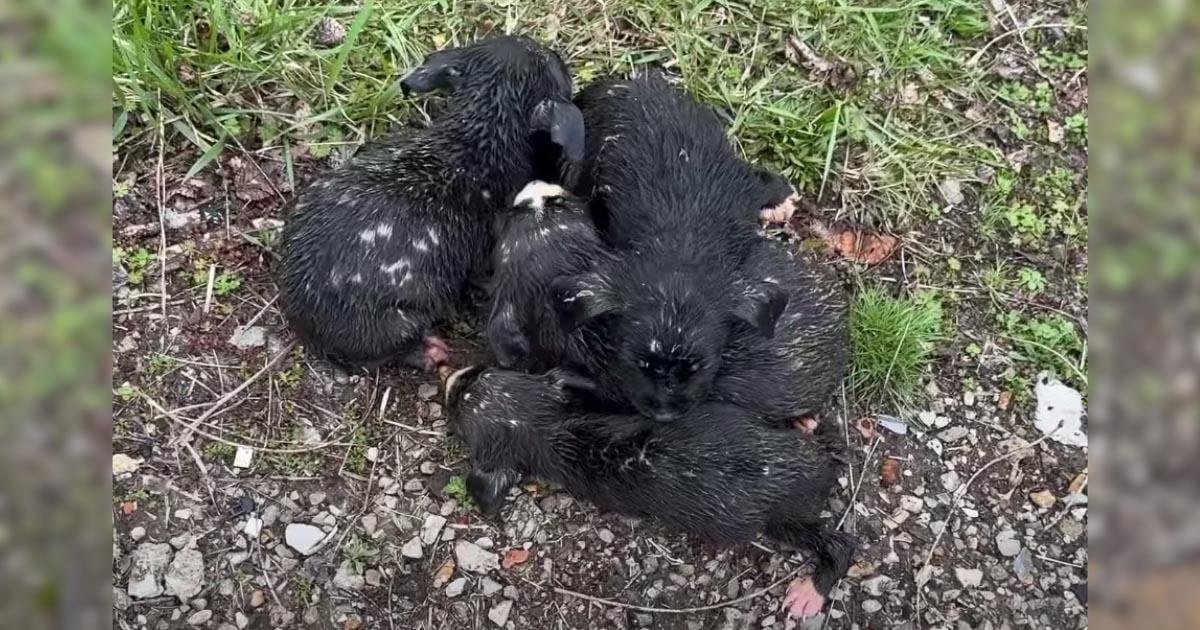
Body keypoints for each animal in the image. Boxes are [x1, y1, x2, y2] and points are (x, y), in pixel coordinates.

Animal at [277, 36, 585, 372]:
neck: (479, 133)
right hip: (399, 324)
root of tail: (303, 320)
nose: (557, 50)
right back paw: (429, 351)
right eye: (553, 61)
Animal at [448, 364, 854, 614]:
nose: (452, 377)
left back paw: (811, 591)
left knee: (840, 544)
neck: (550, 428)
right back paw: (807, 422)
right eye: (480, 373)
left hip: (785, 518)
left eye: (456, 408)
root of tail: (818, 463)